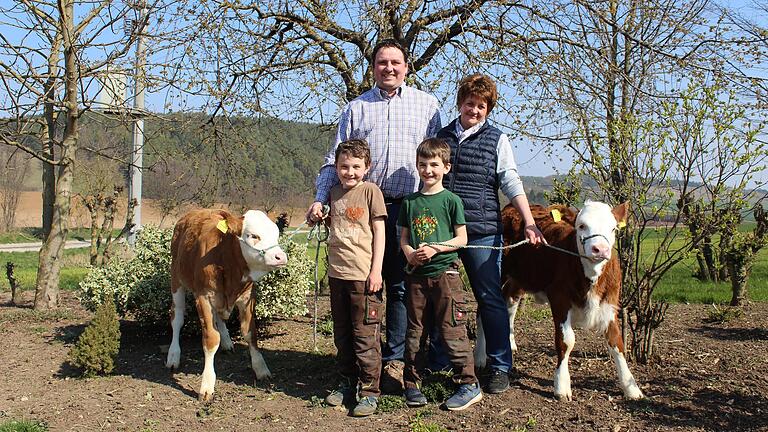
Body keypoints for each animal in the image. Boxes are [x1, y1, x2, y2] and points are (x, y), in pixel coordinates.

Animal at [166, 208, 288, 400]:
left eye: (276, 234)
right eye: (253, 235)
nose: (280, 257)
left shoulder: (247, 297)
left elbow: (250, 333)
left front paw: (260, 367)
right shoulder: (203, 297)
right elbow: (210, 338)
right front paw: (207, 385)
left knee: (219, 318)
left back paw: (226, 341)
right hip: (176, 279)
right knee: (177, 318)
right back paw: (173, 355)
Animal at [474, 201, 640, 400]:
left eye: (613, 228)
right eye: (581, 226)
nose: (600, 249)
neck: (590, 276)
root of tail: (510, 208)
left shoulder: (610, 303)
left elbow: (616, 342)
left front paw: (630, 387)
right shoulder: (559, 298)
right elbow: (566, 341)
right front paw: (562, 386)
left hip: (518, 280)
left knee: (511, 305)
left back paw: (510, 342)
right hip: (496, 274)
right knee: (483, 311)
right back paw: (479, 357)